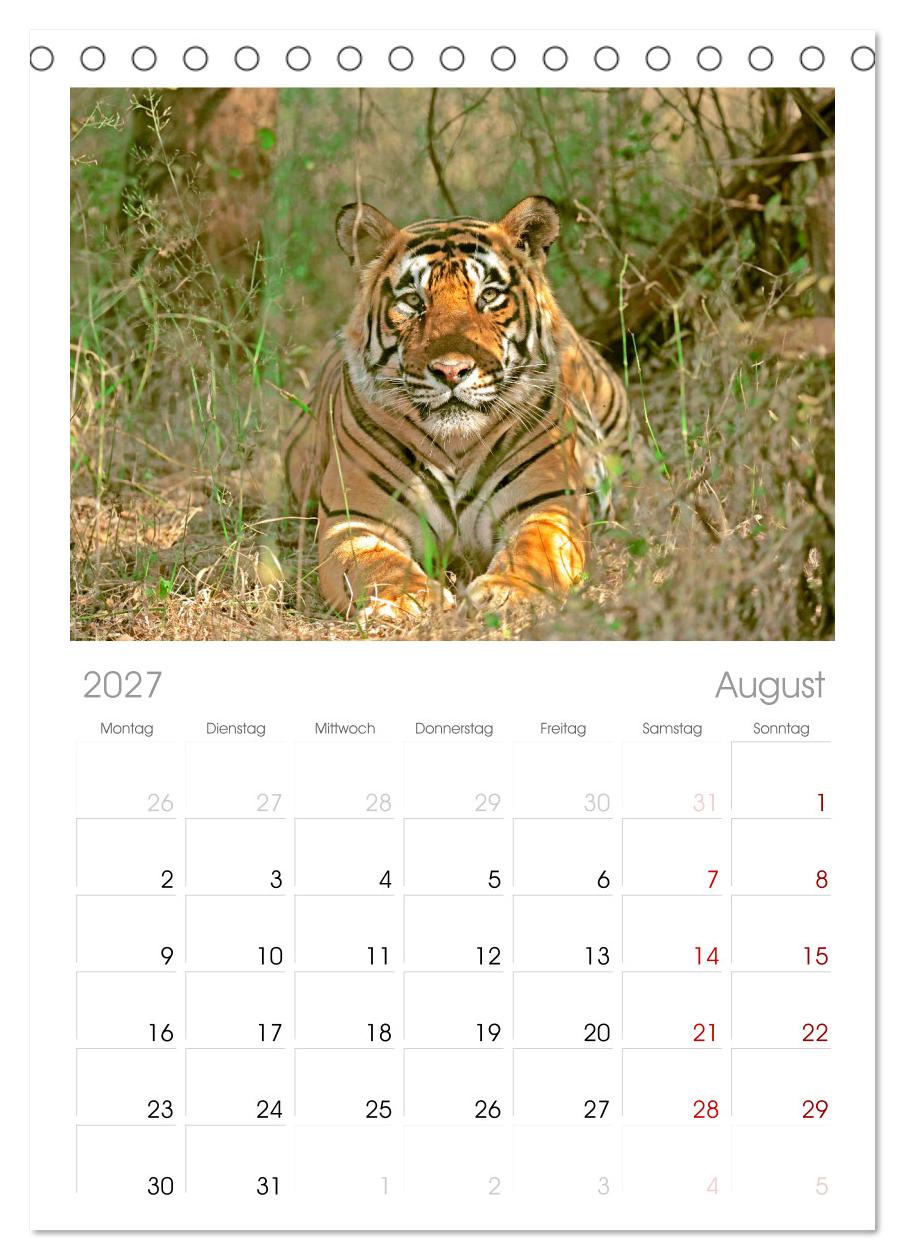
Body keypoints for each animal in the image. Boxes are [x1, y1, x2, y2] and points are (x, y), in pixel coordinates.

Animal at [284, 195, 628, 623]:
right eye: (414, 301)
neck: (455, 447)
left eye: (489, 297)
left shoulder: (547, 503)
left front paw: (509, 592)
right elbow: (374, 565)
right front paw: (405, 599)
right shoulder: (356, 521)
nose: (452, 370)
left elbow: (536, 551)